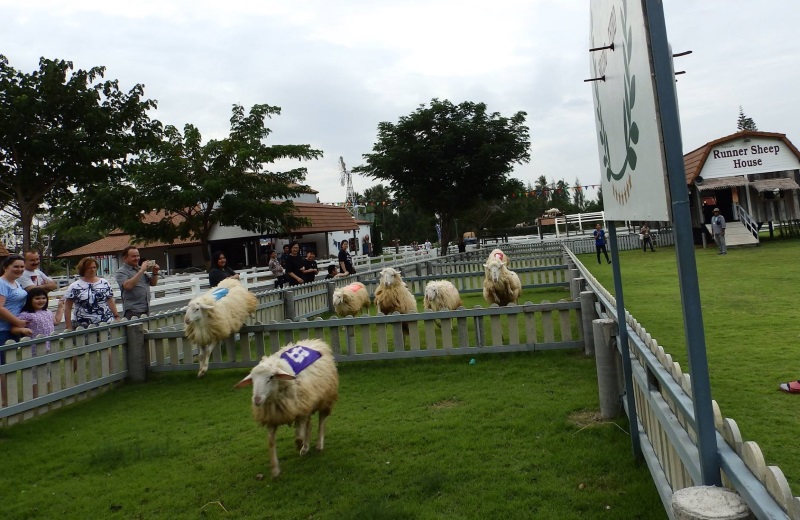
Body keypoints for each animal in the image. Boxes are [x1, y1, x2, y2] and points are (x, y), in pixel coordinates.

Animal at [236, 338, 340, 480]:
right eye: (252, 380)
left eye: (271, 377)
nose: (257, 400)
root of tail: (315, 341)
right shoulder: (273, 418)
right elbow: (271, 442)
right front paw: (275, 470)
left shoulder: (301, 412)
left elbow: (298, 437)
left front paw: (299, 445)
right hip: (308, 402)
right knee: (309, 424)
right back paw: (306, 447)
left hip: (325, 397)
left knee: (321, 420)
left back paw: (318, 445)